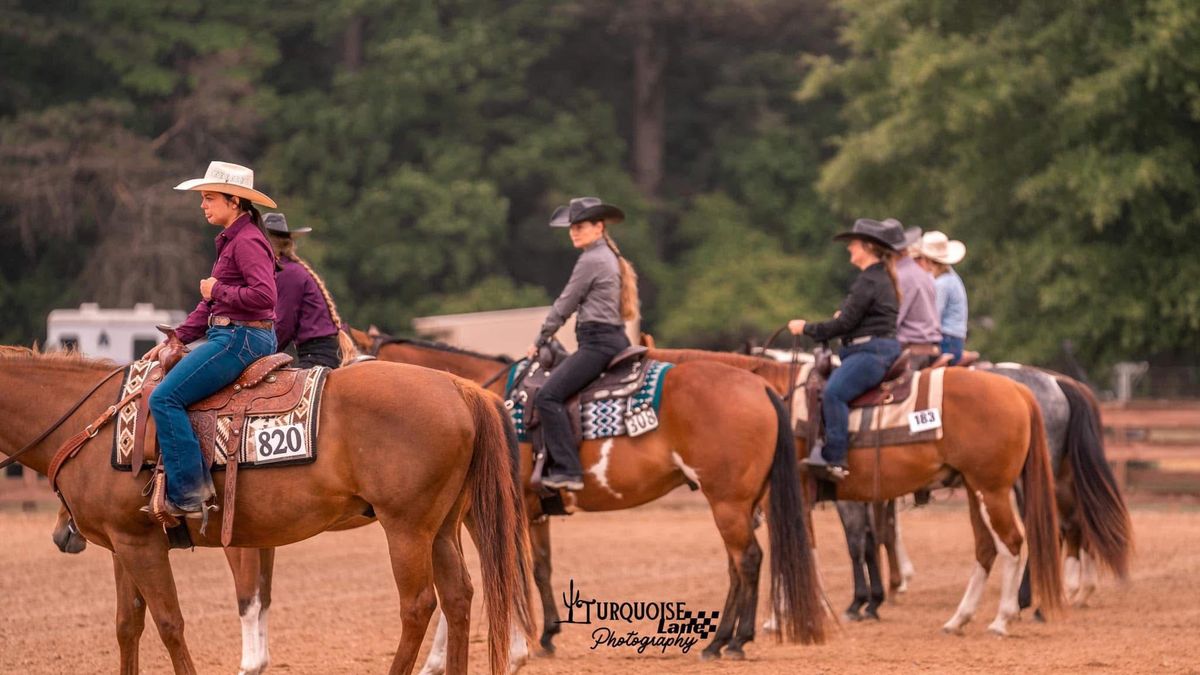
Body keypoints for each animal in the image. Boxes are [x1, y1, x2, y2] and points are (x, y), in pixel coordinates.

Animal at [0, 345, 528, 672]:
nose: (62, 534)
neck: (95, 423)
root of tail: (462, 388)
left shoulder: (141, 545)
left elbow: (171, 624)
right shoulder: (124, 545)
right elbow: (128, 626)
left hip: (407, 529)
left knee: (418, 606)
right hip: (442, 528)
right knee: (459, 598)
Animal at [355, 331, 825, 658]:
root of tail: (759, 387)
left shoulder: (508, 510)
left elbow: (515, 569)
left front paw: (525, 639)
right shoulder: (534, 511)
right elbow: (540, 567)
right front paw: (547, 634)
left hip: (728, 502)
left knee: (748, 560)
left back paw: (728, 641)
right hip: (739, 503)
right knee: (739, 565)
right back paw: (728, 638)